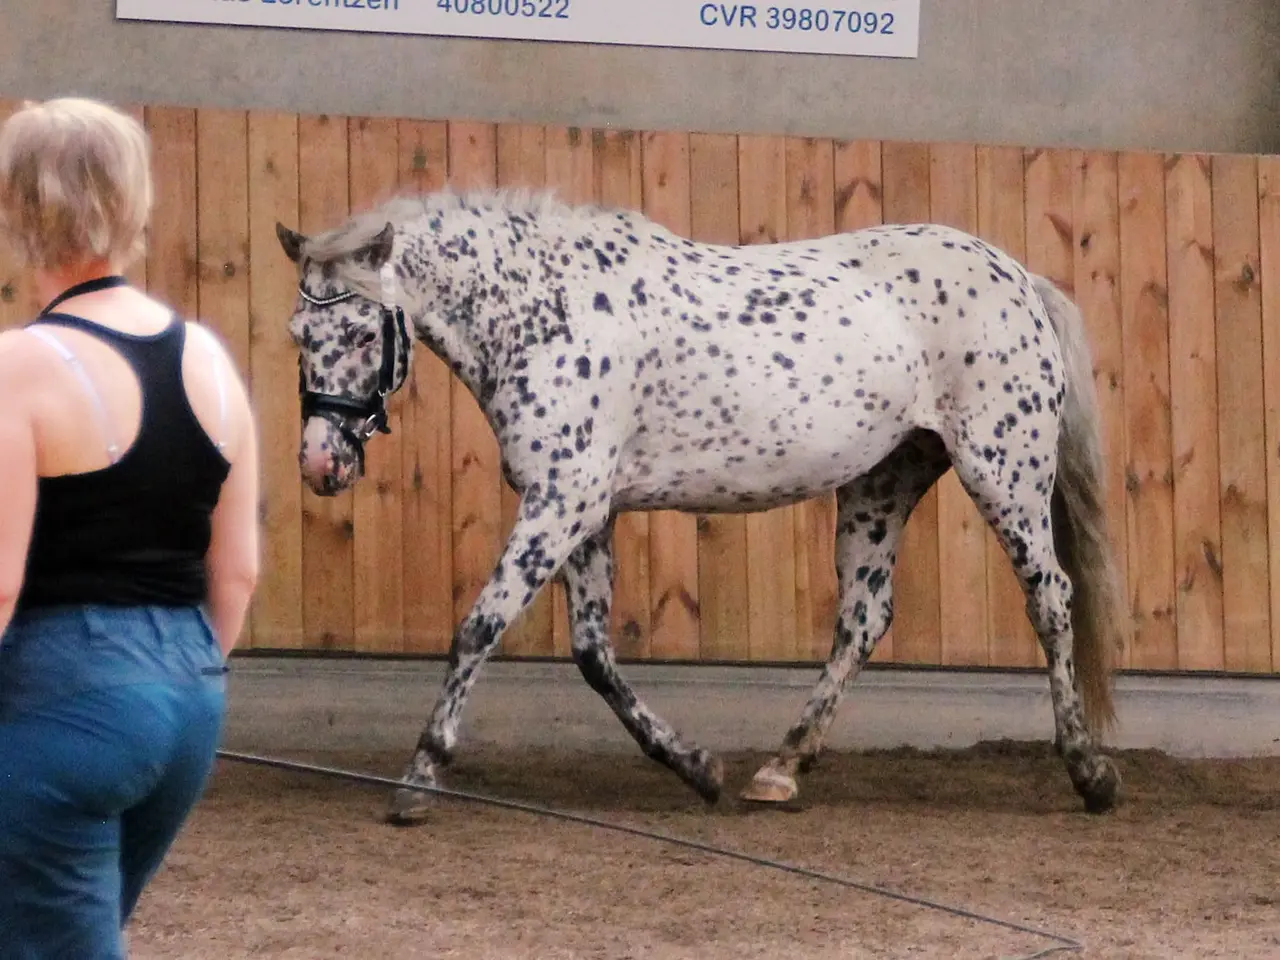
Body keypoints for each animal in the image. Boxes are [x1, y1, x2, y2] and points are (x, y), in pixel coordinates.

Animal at [274, 185, 1127, 823]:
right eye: (296, 334)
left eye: (362, 332)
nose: (320, 463)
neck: (548, 316)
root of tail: (1017, 276)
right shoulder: (586, 513)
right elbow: (594, 655)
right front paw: (696, 768)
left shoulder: (559, 505)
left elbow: (477, 628)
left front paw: (419, 779)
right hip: (884, 482)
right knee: (862, 618)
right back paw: (778, 771)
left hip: (1004, 473)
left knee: (1050, 598)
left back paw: (1090, 775)